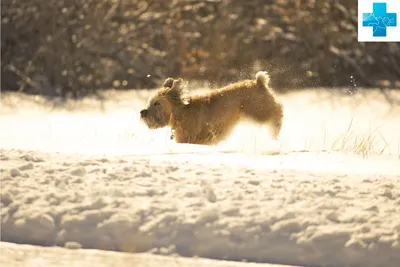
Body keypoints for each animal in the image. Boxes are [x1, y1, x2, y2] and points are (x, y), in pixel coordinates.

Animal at [141, 71, 284, 147]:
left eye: (157, 103)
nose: (143, 113)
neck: (181, 112)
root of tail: (259, 82)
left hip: (257, 113)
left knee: (278, 111)